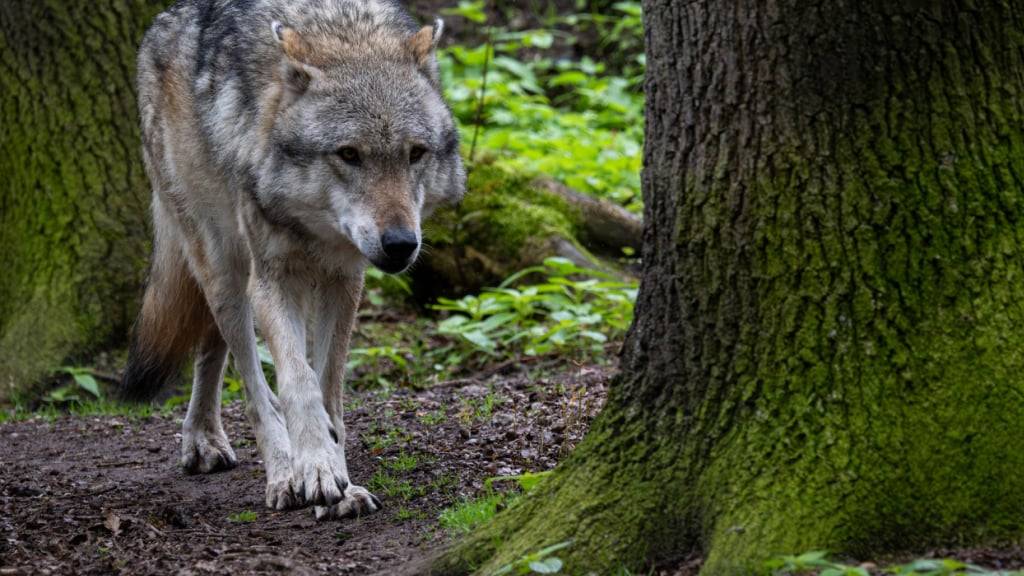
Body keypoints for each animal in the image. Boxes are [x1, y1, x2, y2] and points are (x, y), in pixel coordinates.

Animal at [123, 0, 465, 519]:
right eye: (349, 154)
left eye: (415, 154)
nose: (401, 244)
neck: (343, 33)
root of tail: (165, 19)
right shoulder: (273, 278)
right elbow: (297, 382)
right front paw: (314, 470)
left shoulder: (344, 280)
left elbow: (329, 389)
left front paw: (340, 479)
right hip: (224, 268)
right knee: (250, 379)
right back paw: (278, 473)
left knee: (213, 347)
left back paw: (207, 438)